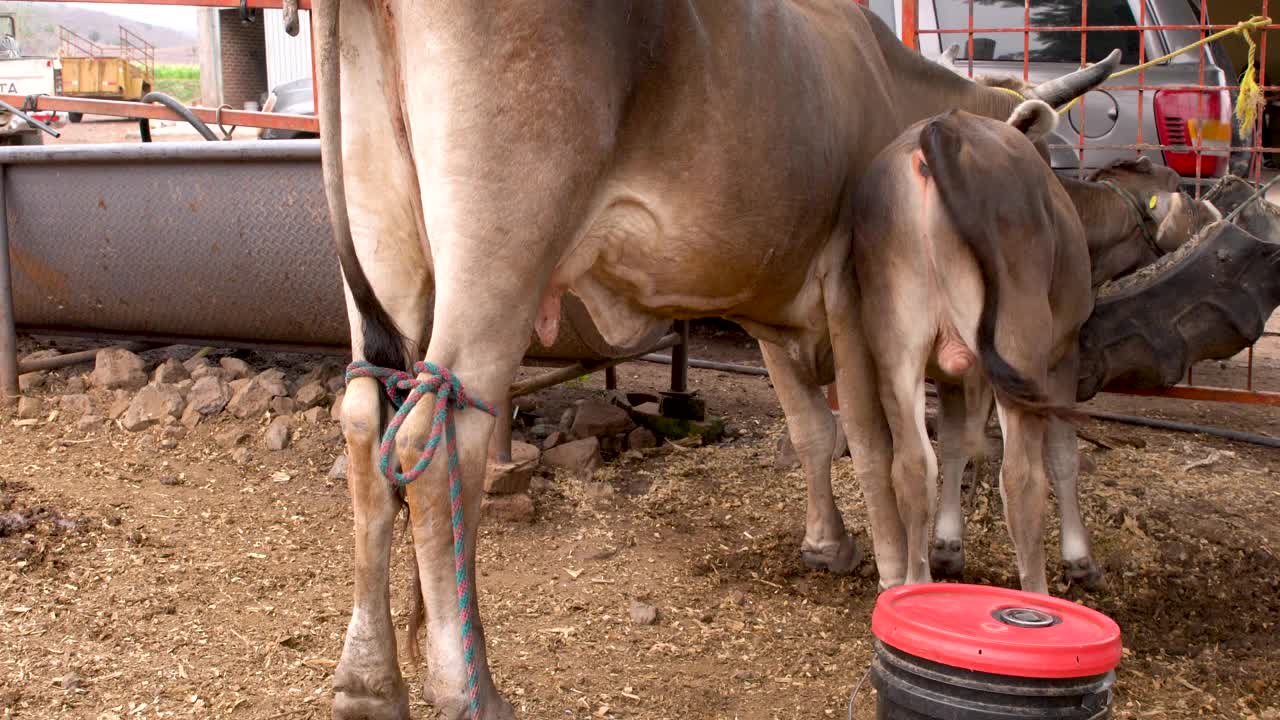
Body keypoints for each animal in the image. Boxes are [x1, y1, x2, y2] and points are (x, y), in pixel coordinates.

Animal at [309, 2, 1121, 712]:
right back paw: (470, 691)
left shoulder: (773, 304)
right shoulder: (849, 289)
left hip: (382, 243)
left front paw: (827, 543)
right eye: (1042, 159)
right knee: (437, 442)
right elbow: (869, 439)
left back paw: (368, 683)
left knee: (365, 423)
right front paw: (896, 577)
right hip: (500, 247)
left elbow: (811, 431)